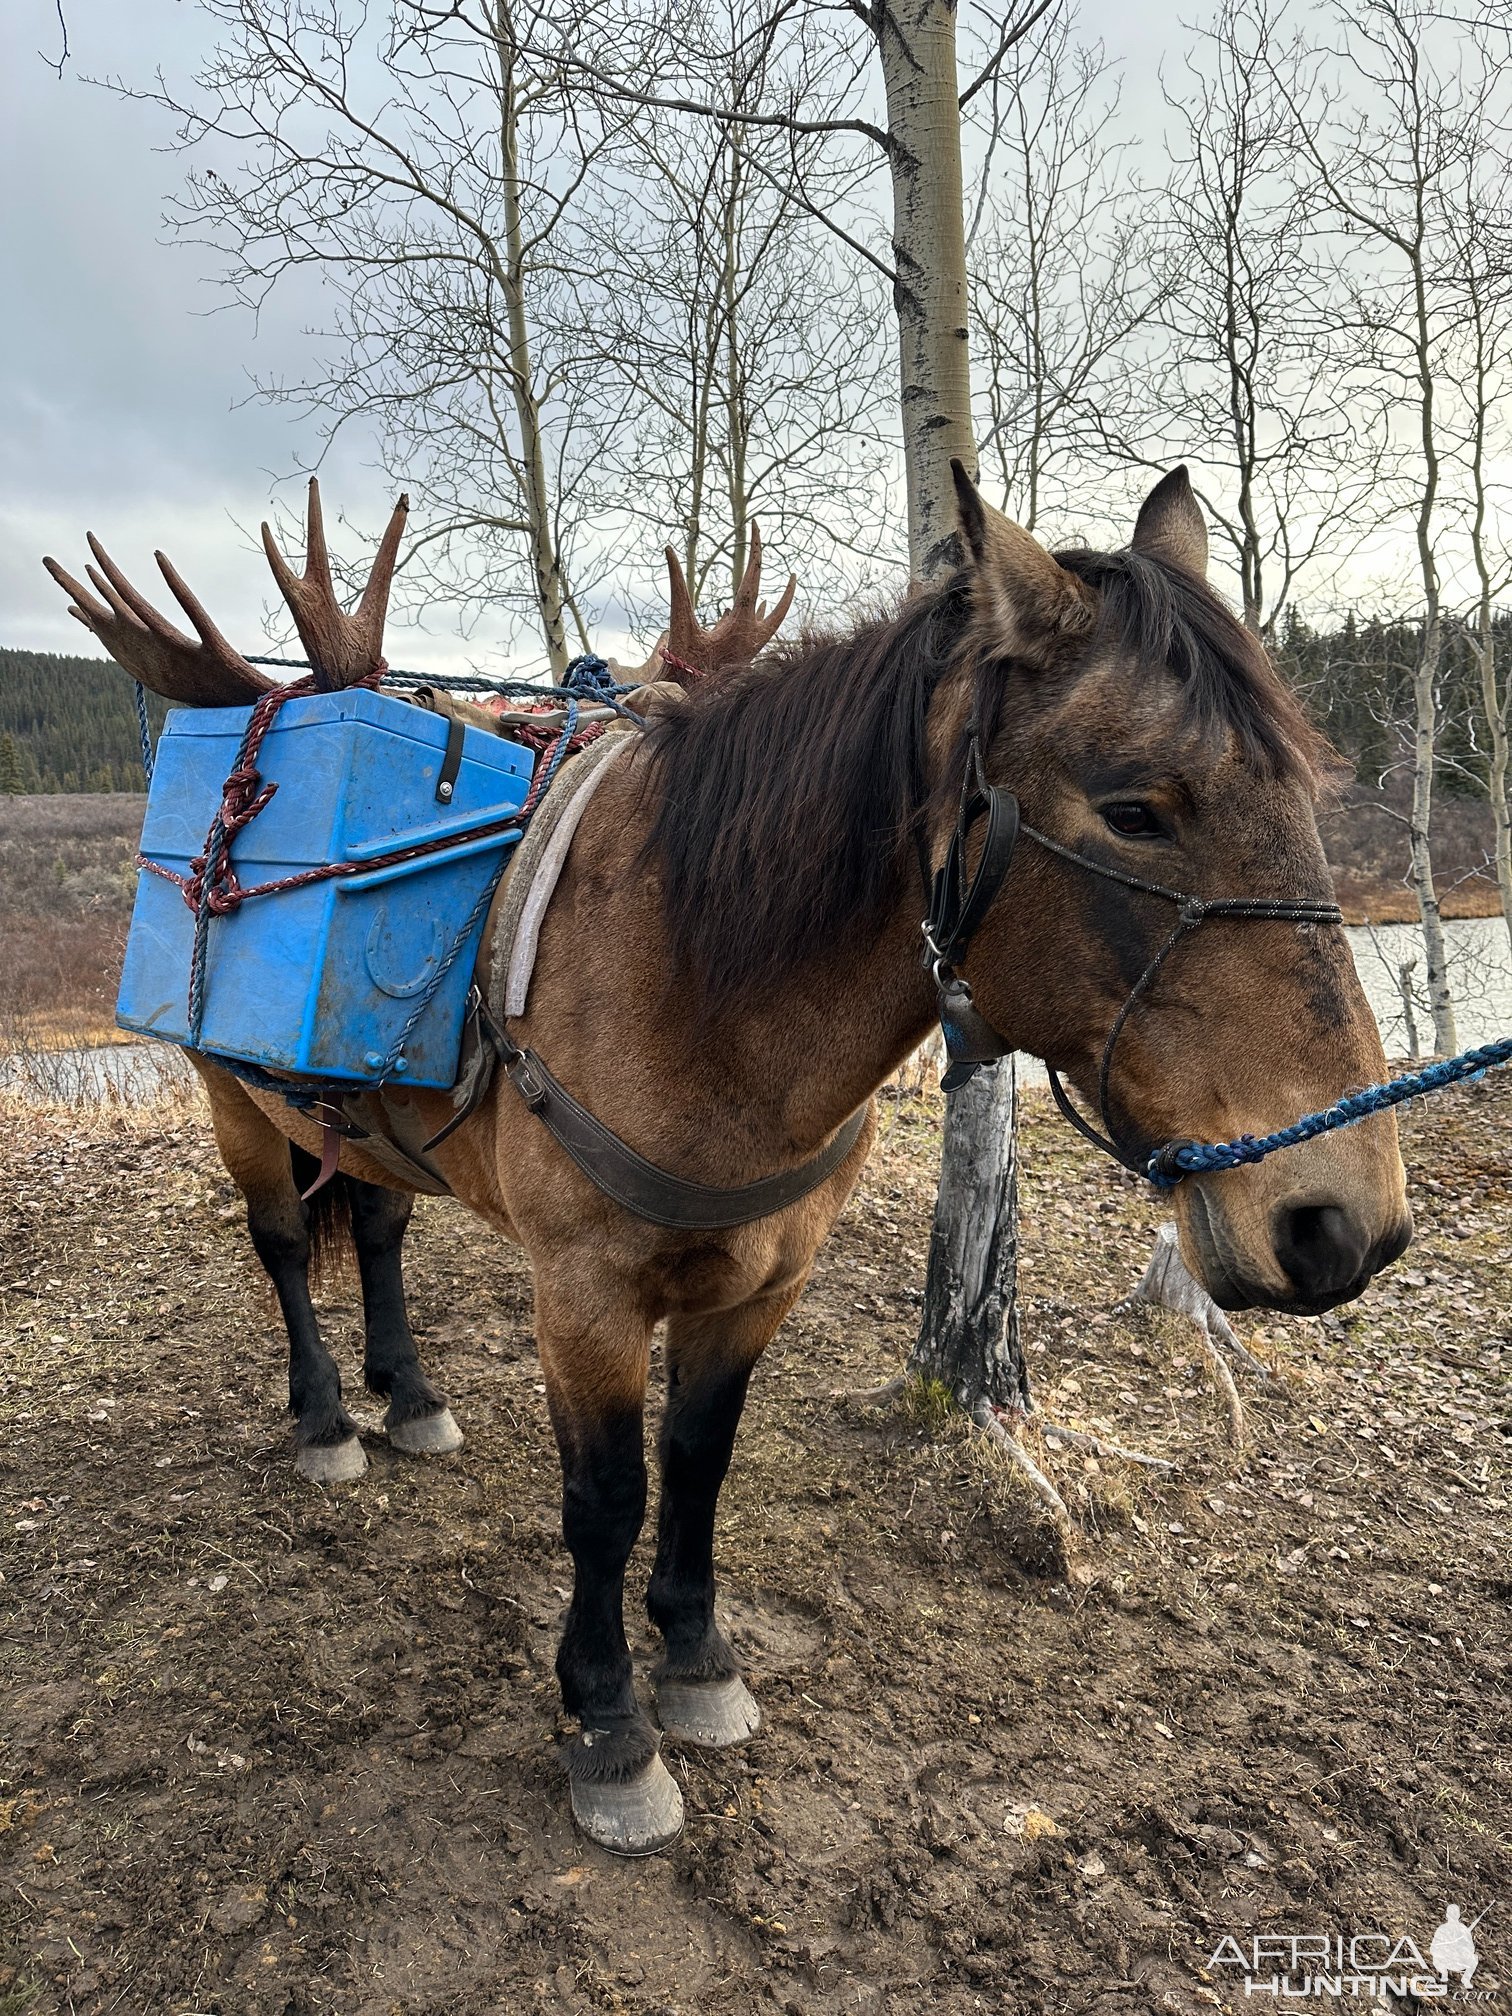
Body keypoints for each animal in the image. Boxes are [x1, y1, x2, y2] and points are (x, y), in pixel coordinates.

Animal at [50, 461, 1419, 1854]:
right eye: (1136, 808)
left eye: (1309, 796)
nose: (1339, 1220)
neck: (699, 987)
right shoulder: (584, 1293)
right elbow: (605, 1497)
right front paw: (608, 1724)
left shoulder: (765, 1280)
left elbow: (699, 1460)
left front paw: (697, 1661)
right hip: (237, 1107)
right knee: (284, 1248)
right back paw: (329, 1414)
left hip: (375, 1126)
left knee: (376, 1229)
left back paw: (412, 1395)